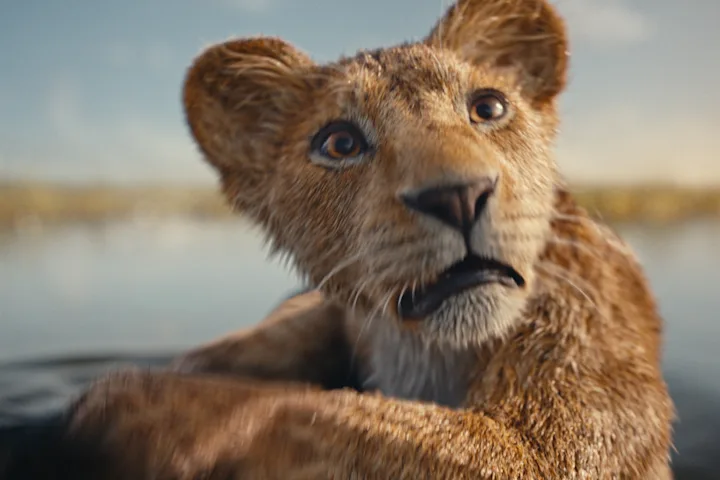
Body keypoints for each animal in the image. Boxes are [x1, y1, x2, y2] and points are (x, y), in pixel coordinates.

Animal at [0, 0, 674, 478]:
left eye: (488, 107)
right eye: (341, 143)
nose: (458, 196)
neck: (424, 351)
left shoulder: (563, 432)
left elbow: (314, 413)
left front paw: (142, 410)